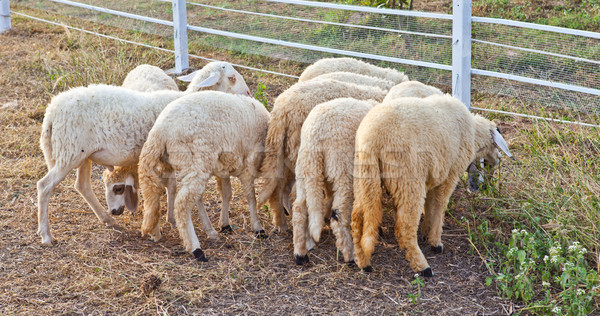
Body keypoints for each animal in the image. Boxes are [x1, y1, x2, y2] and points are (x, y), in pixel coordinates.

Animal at [35, 62, 251, 244]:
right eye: (232, 77)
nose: (248, 93)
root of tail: (51, 112)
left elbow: (171, 187)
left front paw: (169, 218)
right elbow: (168, 187)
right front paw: (165, 224)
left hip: (81, 154)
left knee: (82, 185)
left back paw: (107, 219)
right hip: (69, 152)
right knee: (44, 186)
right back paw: (46, 235)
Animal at [138, 90, 270, 260]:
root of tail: (159, 131)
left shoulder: (224, 167)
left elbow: (226, 193)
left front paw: (225, 224)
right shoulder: (249, 164)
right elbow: (251, 196)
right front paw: (258, 228)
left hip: (178, 164)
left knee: (155, 194)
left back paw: (156, 231)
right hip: (196, 160)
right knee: (182, 203)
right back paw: (196, 249)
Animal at [352, 94, 510, 276]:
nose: (498, 161)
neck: (473, 133)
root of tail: (372, 138)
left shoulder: (431, 176)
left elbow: (428, 205)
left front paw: (425, 230)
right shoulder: (450, 175)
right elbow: (440, 205)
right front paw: (435, 241)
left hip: (365, 177)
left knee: (357, 219)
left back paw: (363, 262)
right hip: (408, 179)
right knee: (404, 226)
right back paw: (422, 266)